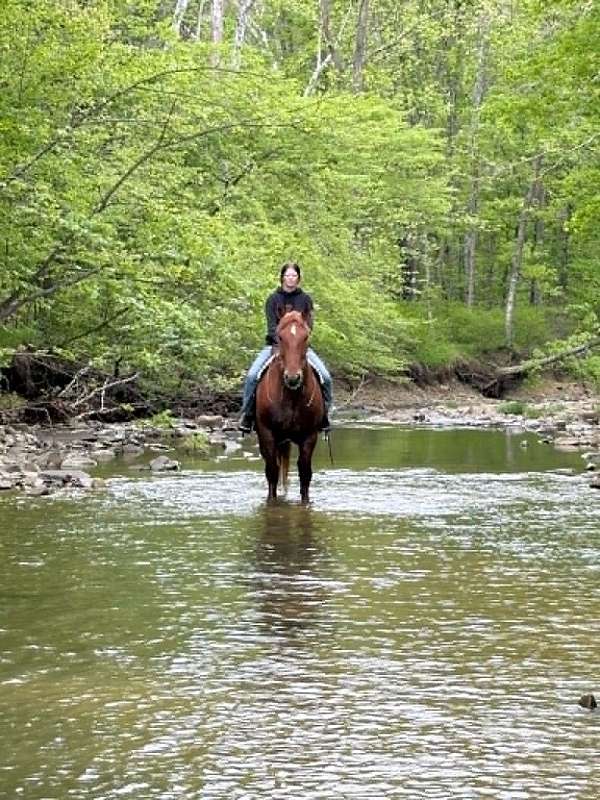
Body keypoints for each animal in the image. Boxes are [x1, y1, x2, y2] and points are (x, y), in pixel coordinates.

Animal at [255, 310, 326, 503]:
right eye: (280, 336)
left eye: (306, 336)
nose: (293, 378)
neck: (291, 396)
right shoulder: (266, 433)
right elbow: (272, 471)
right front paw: (272, 502)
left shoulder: (310, 435)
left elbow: (305, 472)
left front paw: (305, 503)